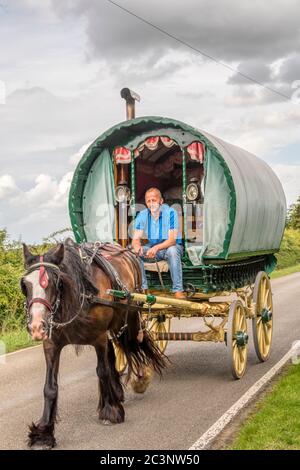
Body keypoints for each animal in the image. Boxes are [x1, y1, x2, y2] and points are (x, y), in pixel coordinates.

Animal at [21, 241, 166, 450]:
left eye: (56, 282)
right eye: (25, 285)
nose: (36, 327)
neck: (80, 294)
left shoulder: (98, 337)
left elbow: (102, 371)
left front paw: (111, 411)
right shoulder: (51, 343)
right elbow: (50, 387)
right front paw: (43, 434)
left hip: (129, 316)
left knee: (131, 344)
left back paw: (136, 381)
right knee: (113, 354)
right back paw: (117, 391)